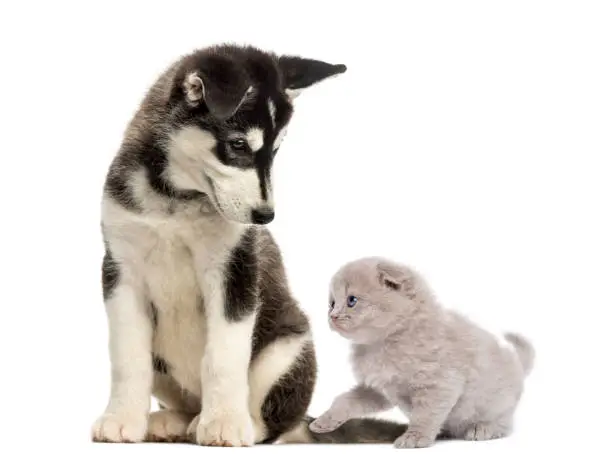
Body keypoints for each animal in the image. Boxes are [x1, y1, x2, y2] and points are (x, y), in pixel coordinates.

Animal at [308, 258, 532, 450]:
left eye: (352, 300)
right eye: (332, 303)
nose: (332, 316)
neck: (383, 343)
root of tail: (518, 366)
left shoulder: (439, 385)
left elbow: (425, 414)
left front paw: (415, 437)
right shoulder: (379, 389)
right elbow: (345, 400)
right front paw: (325, 420)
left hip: (498, 405)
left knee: (504, 424)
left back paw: (482, 428)